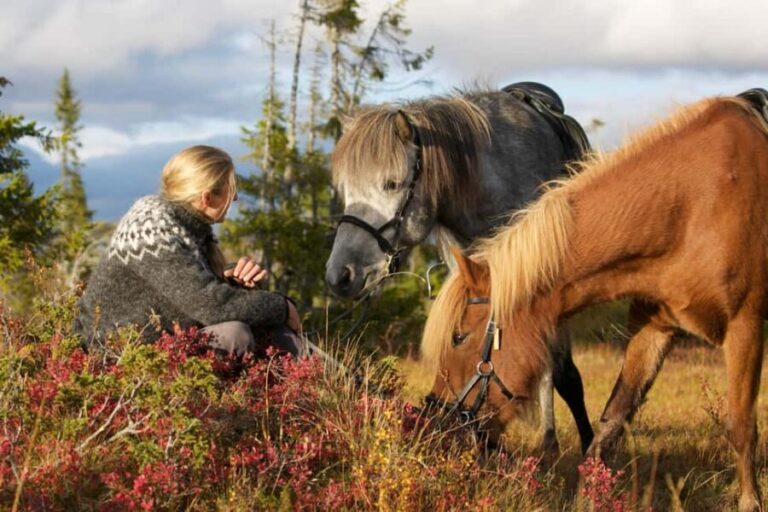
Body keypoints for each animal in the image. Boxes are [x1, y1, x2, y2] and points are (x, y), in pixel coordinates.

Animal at [325, 83, 594, 456]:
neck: (488, 183)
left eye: (391, 184)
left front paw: (580, 447)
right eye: (345, 189)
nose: (340, 275)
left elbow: (559, 373)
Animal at [421, 90, 768, 512]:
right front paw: (587, 495)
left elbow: (741, 425)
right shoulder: (654, 328)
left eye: (459, 338)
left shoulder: (745, 327)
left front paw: (750, 501)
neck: (695, 203)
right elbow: (612, 420)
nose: (434, 425)